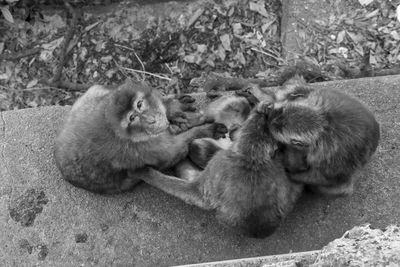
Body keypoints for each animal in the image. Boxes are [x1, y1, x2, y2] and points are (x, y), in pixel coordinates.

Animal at [54, 79, 228, 195]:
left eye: (139, 104)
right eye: (132, 118)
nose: (151, 119)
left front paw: (171, 107)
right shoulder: (144, 149)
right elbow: (175, 152)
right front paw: (205, 129)